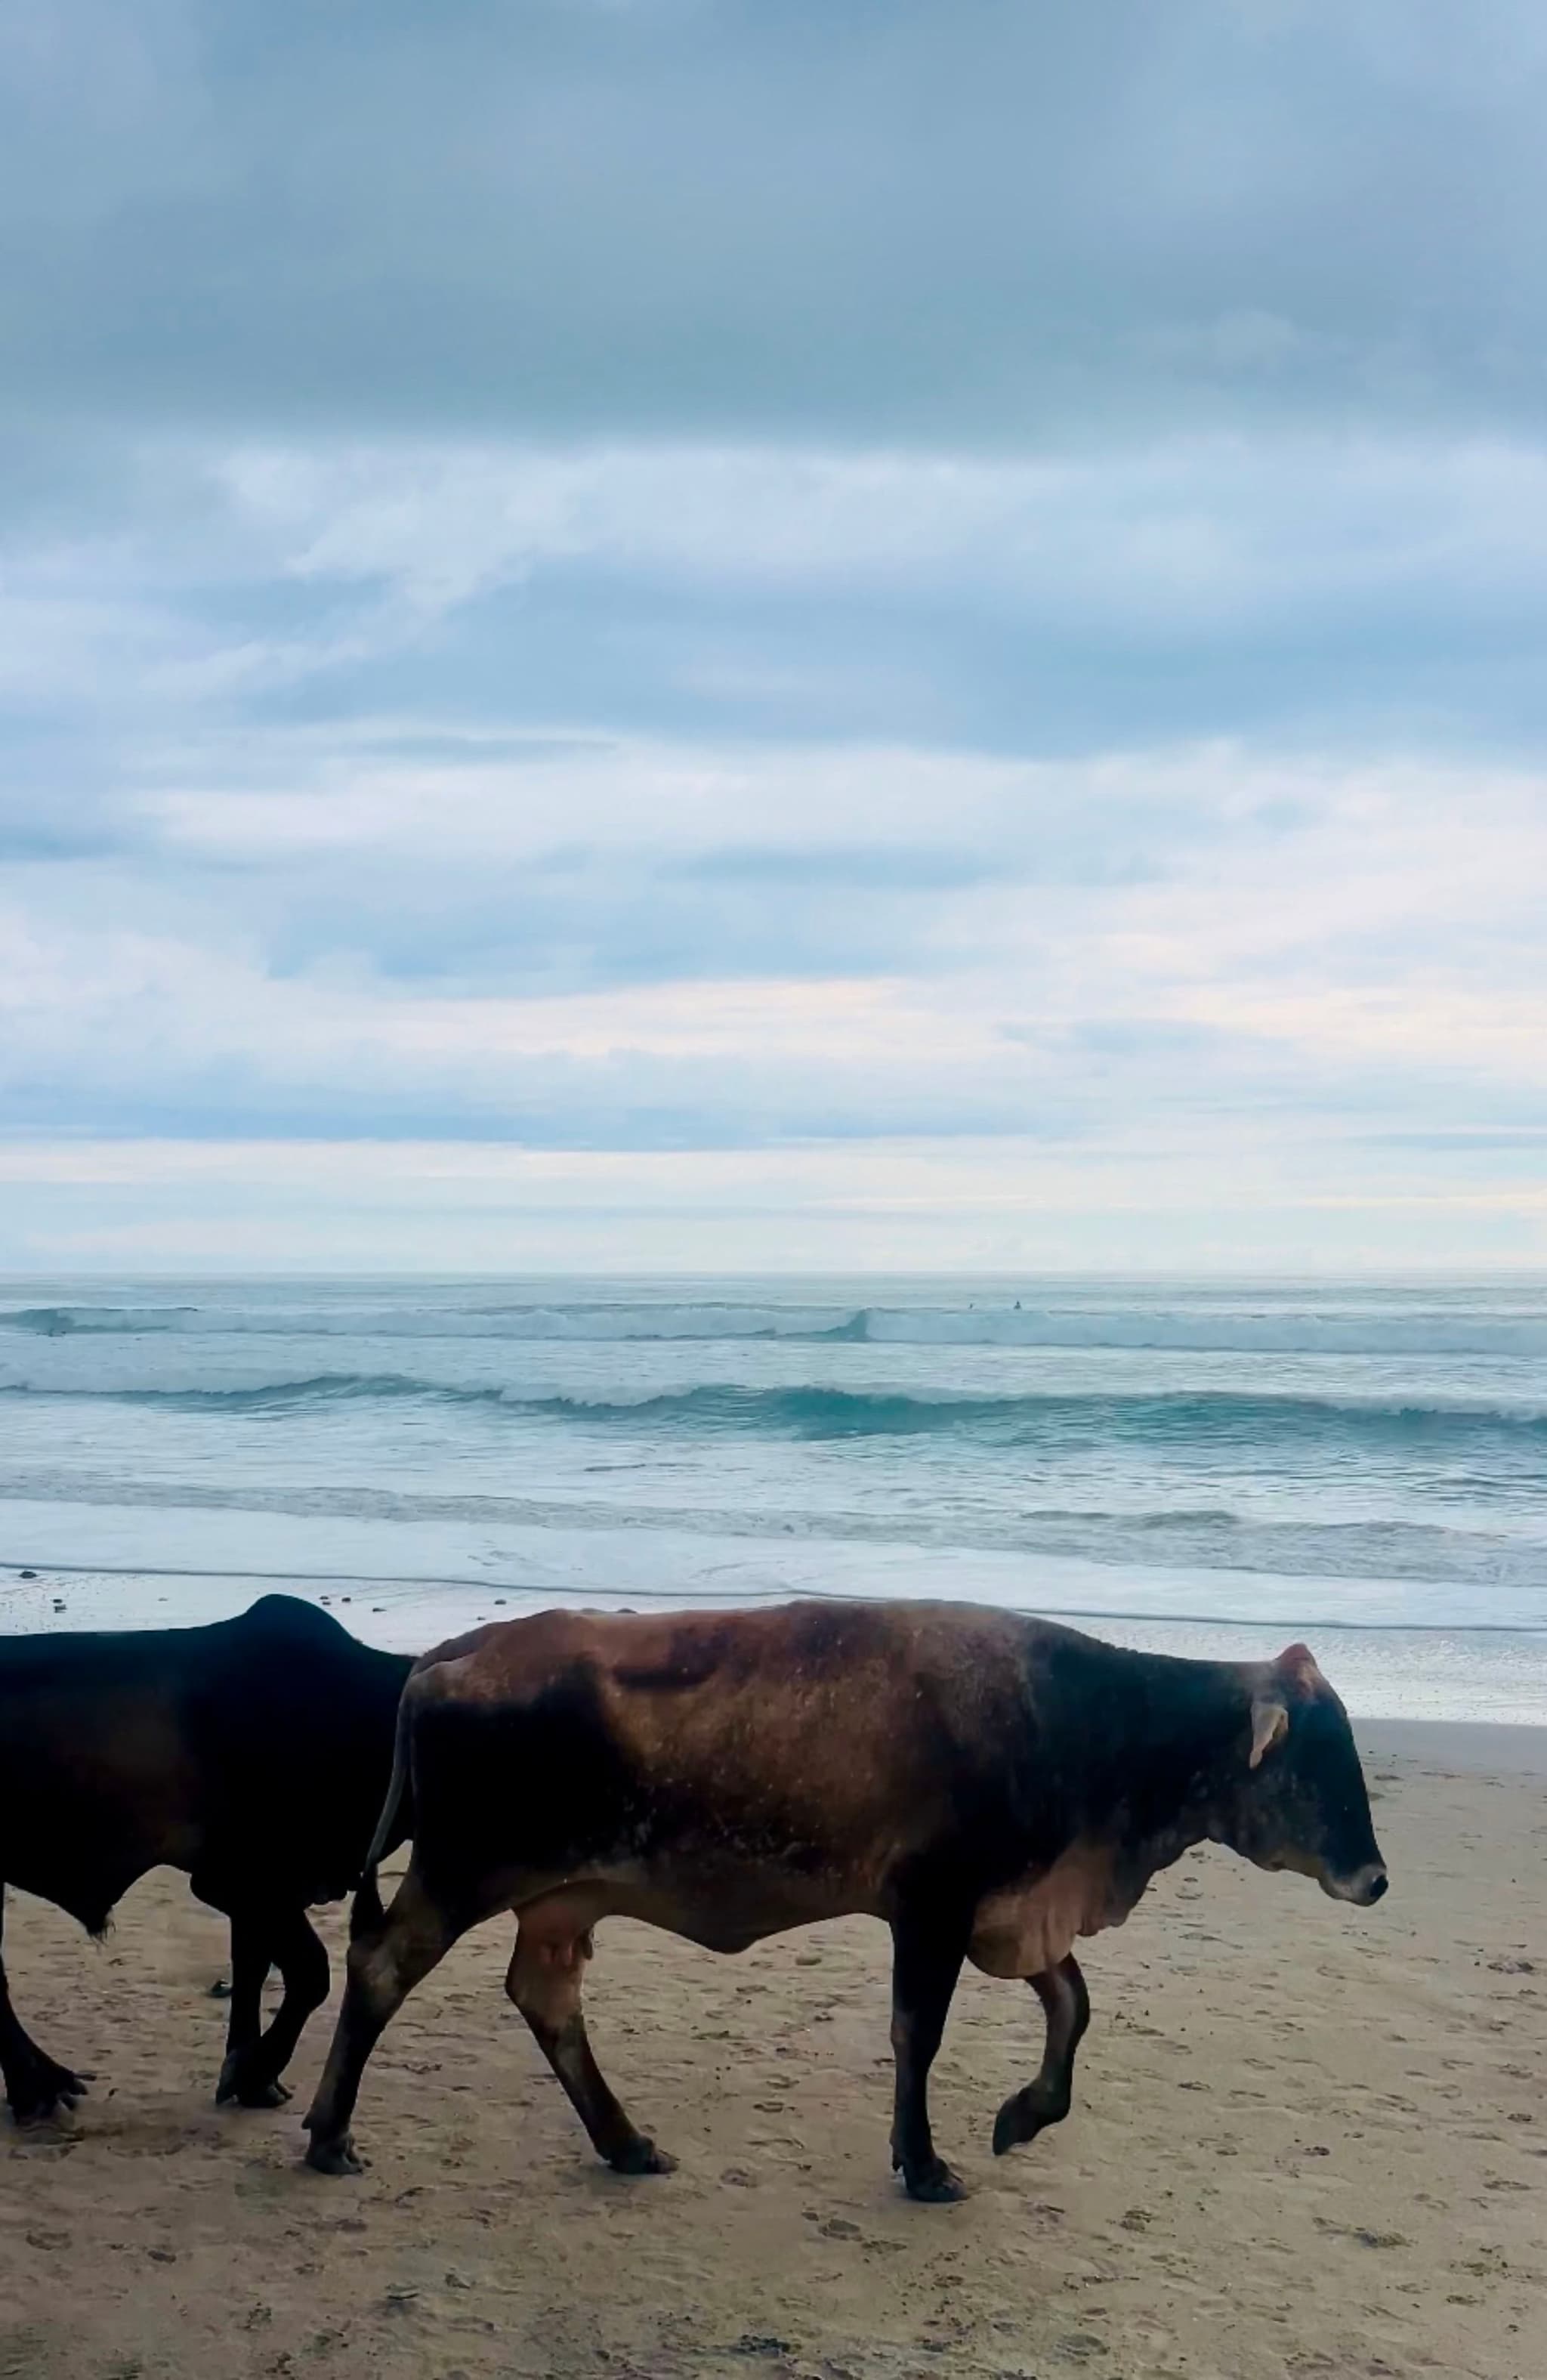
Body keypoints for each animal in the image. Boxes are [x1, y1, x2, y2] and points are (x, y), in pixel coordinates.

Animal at [0, 1594, 412, 2124]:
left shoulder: (267, 1894)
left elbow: (252, 1968)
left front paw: (248, 2073)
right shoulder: (237, 1880)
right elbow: (310, 1972)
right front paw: (254, 2070)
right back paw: (40, 2088)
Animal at [302, 1599, 1388, 2200]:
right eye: (1320, 1760)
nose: (1375, 1877)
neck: (1090, 1722)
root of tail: (451, 1652)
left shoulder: (1008, 1908)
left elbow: (1073, 2005)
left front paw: (1024, 2115)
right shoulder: (933, 1904)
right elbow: (920, 2034)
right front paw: (926, 2163)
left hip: (560, 1900)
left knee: (545, 1999)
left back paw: (626, 2141)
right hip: (461, 1871)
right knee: (381, 1966)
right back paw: (328, 2134)